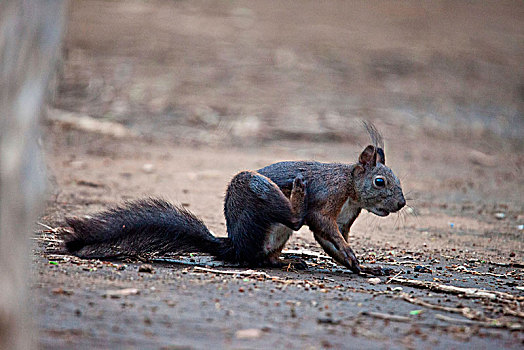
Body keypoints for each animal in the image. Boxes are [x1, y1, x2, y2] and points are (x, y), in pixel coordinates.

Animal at [62, 122, 406, 274]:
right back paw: (297, 195)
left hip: (272, 236)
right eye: (380, 181)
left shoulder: (344, 219)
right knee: (288, 224)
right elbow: (321, 225)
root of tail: (235, 244)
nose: (402, 204)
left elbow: (332, 242)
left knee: (263, 258)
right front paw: (355, 260)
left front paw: (361, 267)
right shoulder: (327, 199)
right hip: (253, 188)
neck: (350, 189)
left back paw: (288, 260)